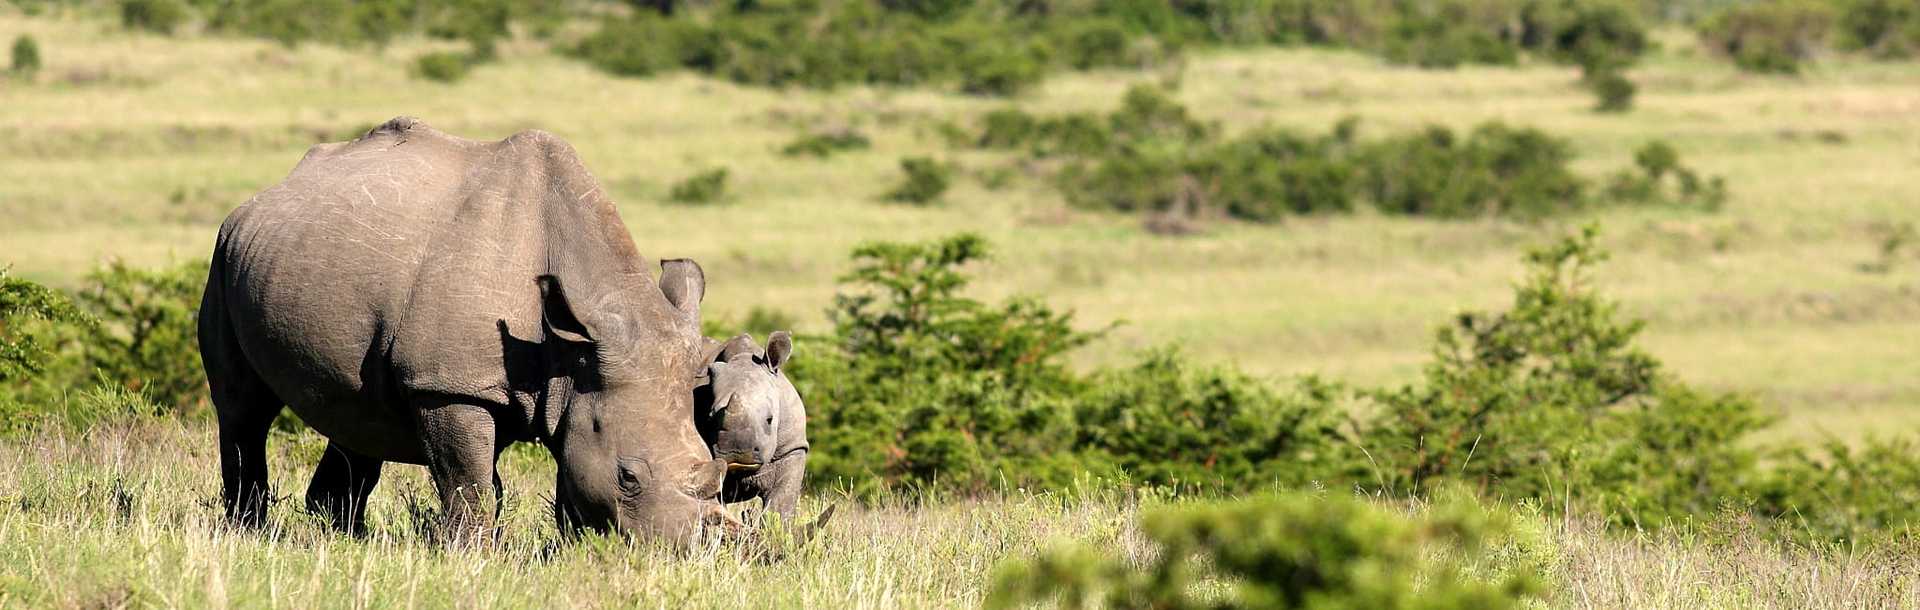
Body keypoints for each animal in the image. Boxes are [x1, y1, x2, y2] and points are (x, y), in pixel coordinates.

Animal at [198, 115, 729, 544]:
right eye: (627, 477)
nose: (682, 549)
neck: (569, 352)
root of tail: (264, 195)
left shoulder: (579, 381)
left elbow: (563, 474)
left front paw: (574, 550)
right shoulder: (448, 384)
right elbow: (468, 483)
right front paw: (469, 554)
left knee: (356, 414)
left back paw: (347, 541)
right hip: (223, 255)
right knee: (244, 409)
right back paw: (249, 533)